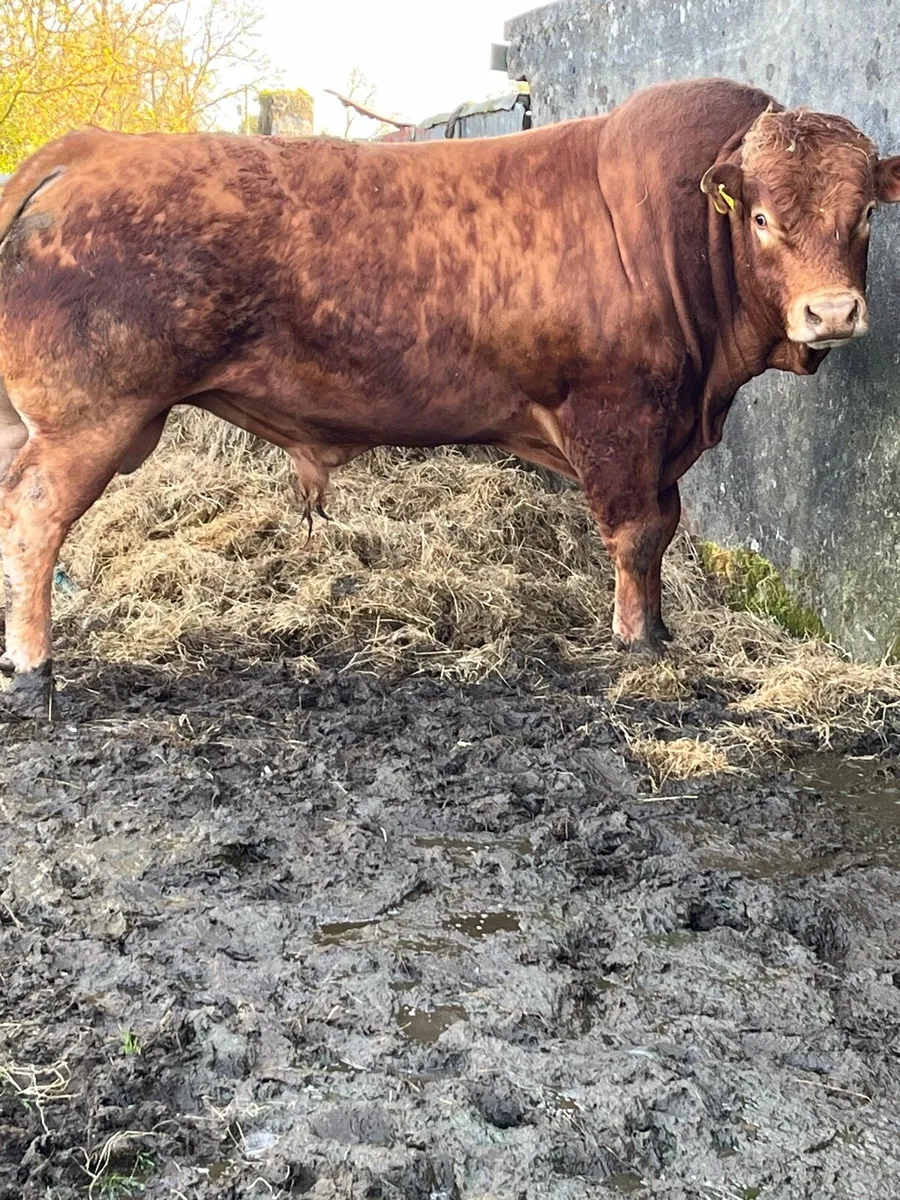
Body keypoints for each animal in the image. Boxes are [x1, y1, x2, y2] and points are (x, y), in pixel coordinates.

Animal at [0, 77, 898, 715]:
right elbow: (640, 534)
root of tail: (90, 149)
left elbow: (664, 527)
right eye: (762, 218)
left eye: (863, 215)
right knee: (35, 519)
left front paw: (658, 627)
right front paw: (641, 645)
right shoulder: (619, 417)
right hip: (91, 419)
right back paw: (34, 674)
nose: (832, 312)